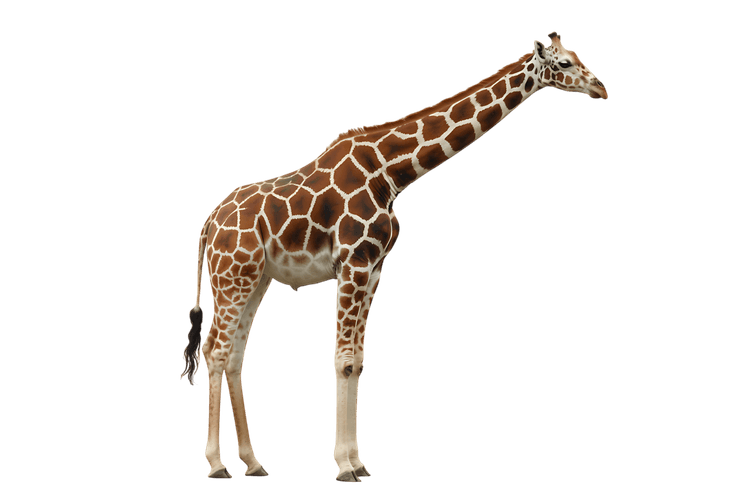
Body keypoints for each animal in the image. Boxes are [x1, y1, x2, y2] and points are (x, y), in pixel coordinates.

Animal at [180, 30, 608, 483]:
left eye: (577, 56)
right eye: (563, 63)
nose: (602, 88)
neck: (391, 172)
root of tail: (208, 224)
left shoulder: (376, 268)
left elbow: (359, 361)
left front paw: (358, 462)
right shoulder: (353, 263)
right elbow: (343, 359)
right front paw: (344, 466)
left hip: (256, 278)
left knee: (235, 354)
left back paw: (253, 462)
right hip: (232, 275)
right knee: (215, 350)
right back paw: (217, 464)